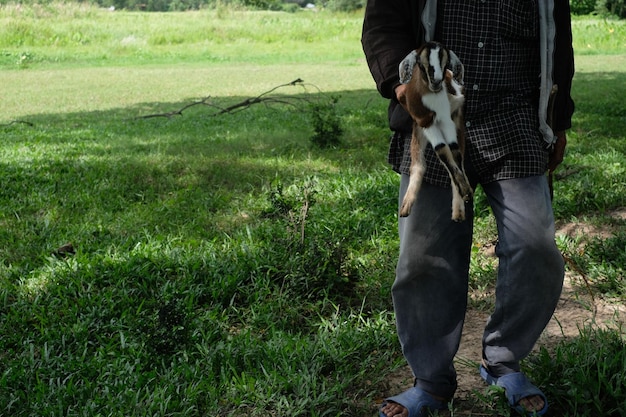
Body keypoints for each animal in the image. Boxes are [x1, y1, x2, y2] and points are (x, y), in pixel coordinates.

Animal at [398, 41, 470, 221]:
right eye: (420, 63)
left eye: (446, 64)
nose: (437, 82)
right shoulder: (425, 123)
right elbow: (441, 150)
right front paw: (464, 189)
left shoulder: (446, 120)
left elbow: (453, 151)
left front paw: (465, 190)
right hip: (418, 132)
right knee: (418, 164)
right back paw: (405, 207)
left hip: (457, 123)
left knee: (457, 152)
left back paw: (458, 212)